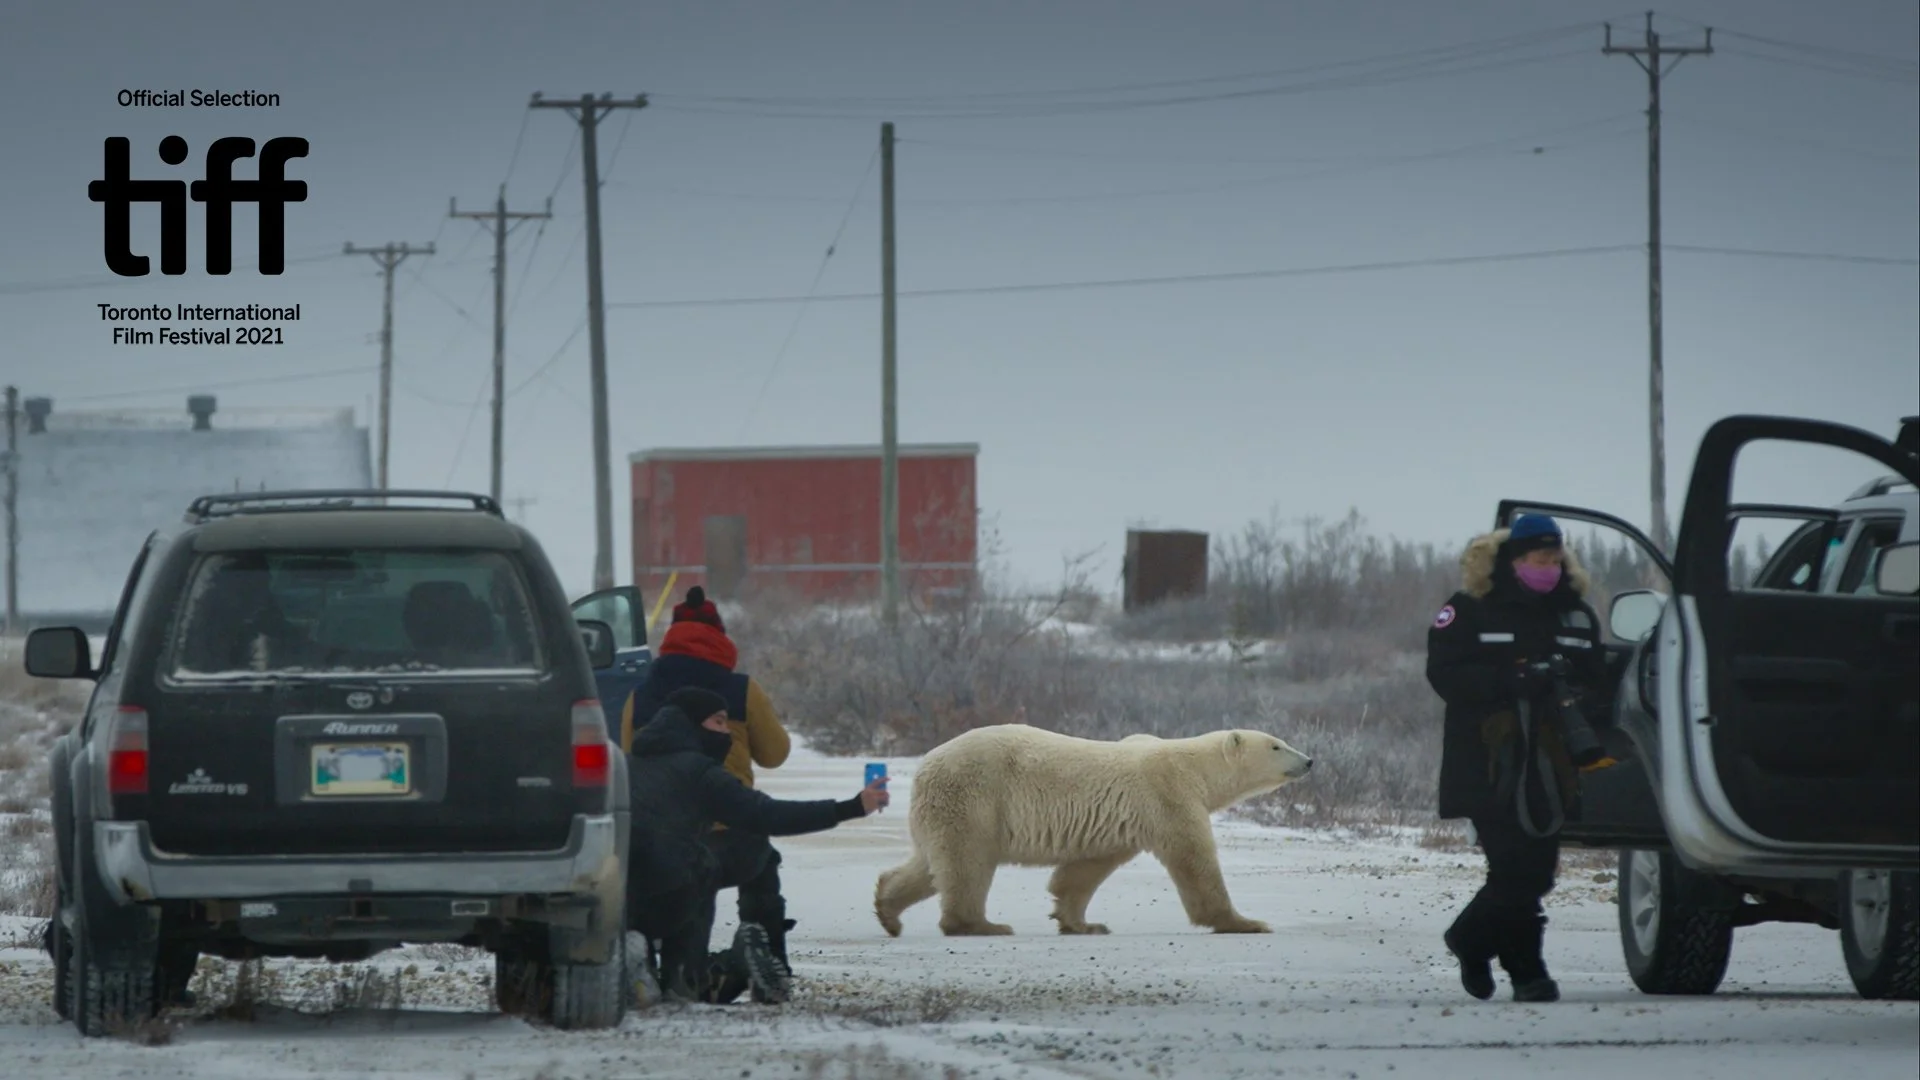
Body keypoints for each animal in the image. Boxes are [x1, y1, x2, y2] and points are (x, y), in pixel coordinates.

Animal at [873, 724, 1314, 938]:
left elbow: (1084, 869)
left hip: (941, 809)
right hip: (975, 796)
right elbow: (1194, 861)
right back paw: (980, 925)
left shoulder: (1120, 821)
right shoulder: (1168, 797)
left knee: (929, 865)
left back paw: (888, 911)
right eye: (1276, 745)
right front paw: (1247, 922)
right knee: (968, 862)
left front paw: (1081, 923)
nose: (1309, 760)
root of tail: (925, 766)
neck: (1194, 767)